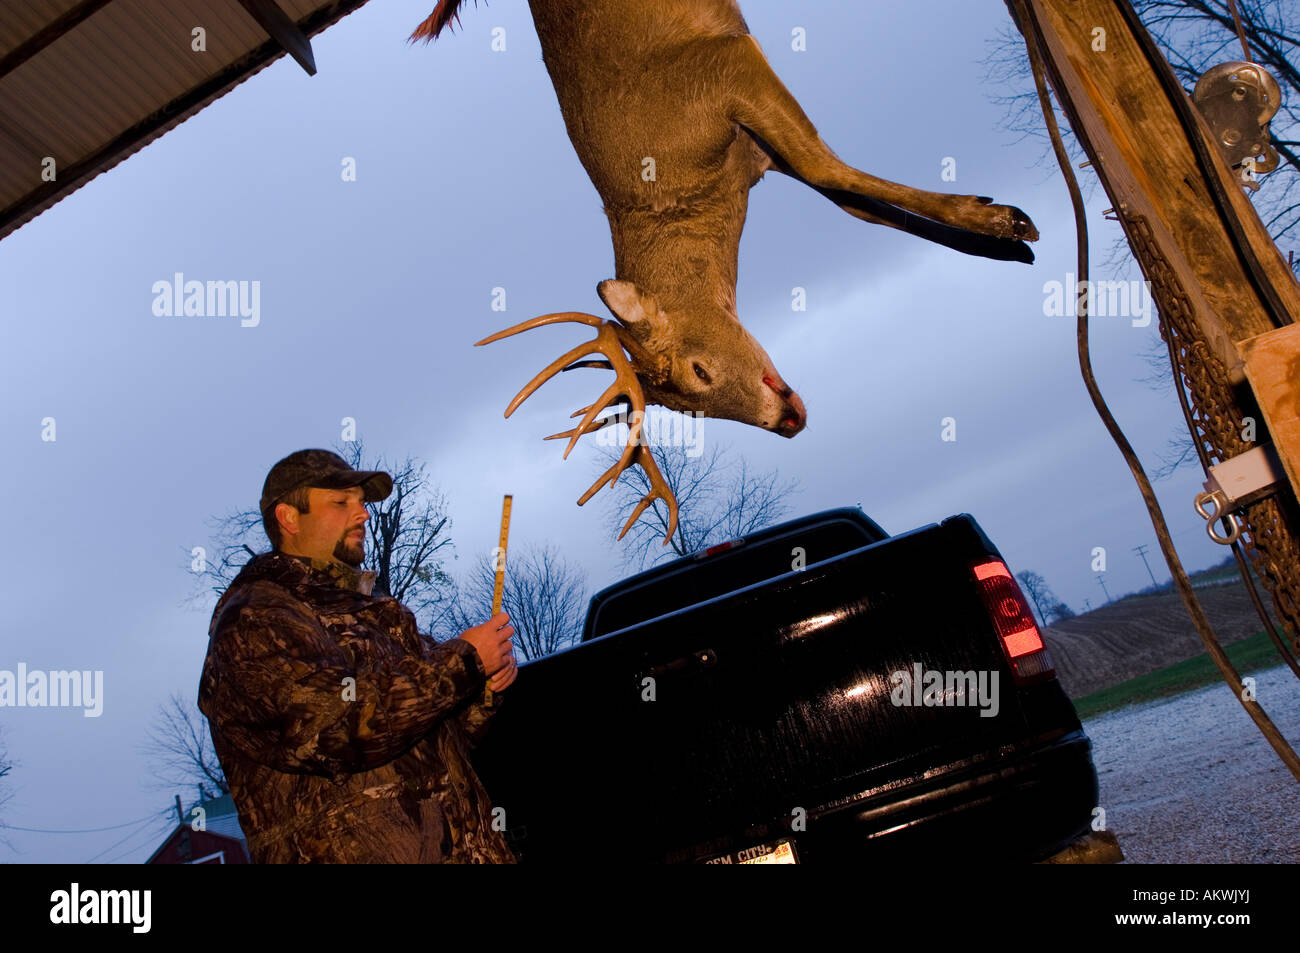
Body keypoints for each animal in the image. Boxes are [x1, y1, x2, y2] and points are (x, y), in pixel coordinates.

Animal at [411, 0, 1038, 546]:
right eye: (684, 409)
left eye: (698, 371)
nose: (789, 420)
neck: (683, 185)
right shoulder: (757, 151)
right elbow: (853, 203)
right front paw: (996, 236)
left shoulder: (722, 64)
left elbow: (830, 172)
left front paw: (1006, 221)